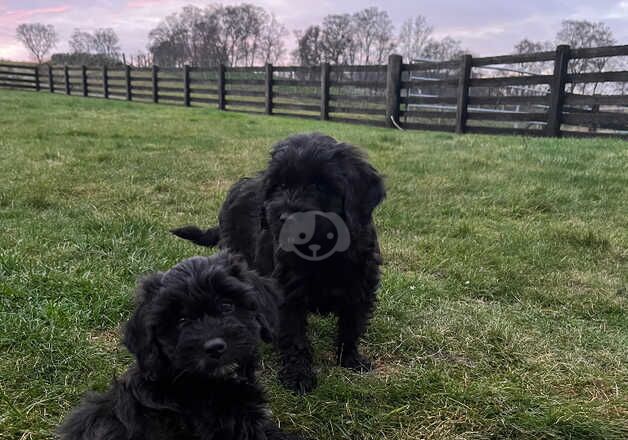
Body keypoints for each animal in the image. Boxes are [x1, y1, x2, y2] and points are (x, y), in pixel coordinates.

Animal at [173, 132, 388, 394]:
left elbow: (352, 324)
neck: (324, 252)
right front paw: (298, 375)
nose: (285, 217)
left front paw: (351, 359)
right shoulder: (287, 292)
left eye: (319, 185)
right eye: (280, 186)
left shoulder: (361, 285)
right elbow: (293, 336)